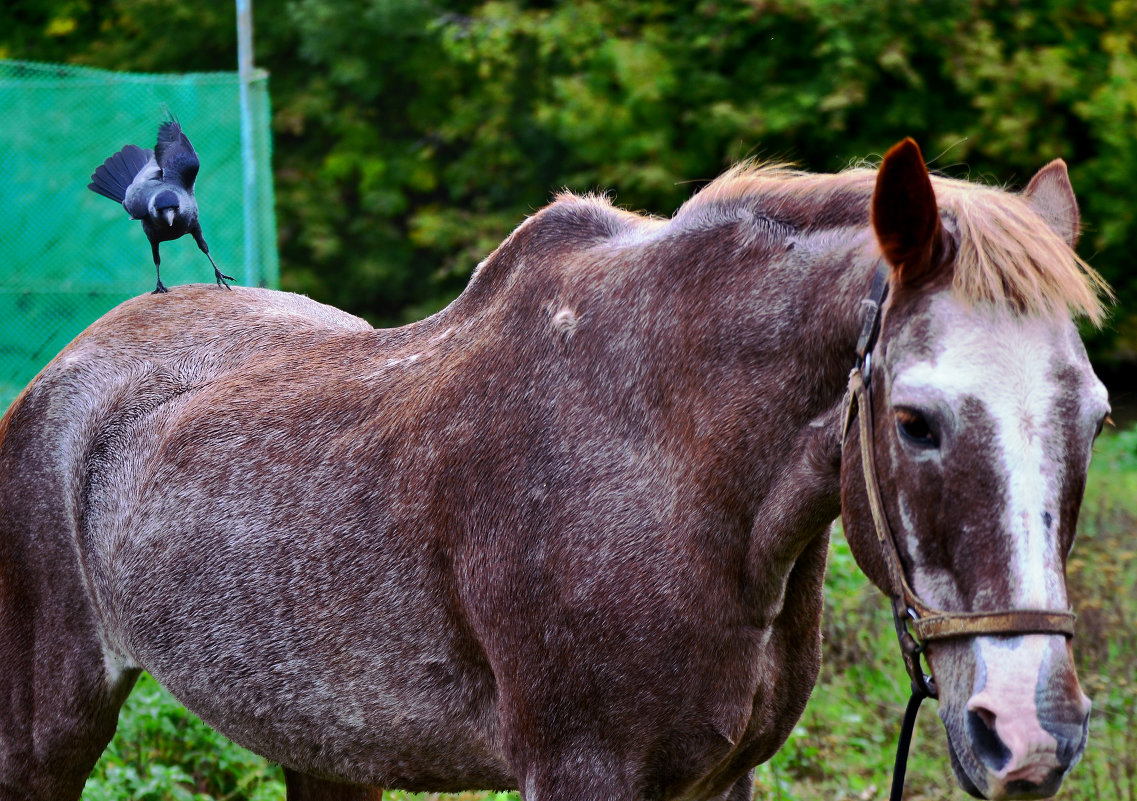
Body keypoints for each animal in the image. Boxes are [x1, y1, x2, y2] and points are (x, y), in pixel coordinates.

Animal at [0, 141, 1105, 796]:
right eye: (915, 422)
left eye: (1093, 418)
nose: (1030, 730)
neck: (668, 458)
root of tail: (65, 370)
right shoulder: (583, 774)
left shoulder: (723, 778)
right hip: (46, 734)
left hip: (321, 750)